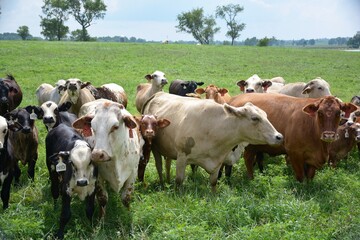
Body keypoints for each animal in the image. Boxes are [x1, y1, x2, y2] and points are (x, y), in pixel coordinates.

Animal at [228, 93, 358, 181]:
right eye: (320, 113)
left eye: (338, 113)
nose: (328, 135)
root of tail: (234, 99)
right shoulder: (294, 154)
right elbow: (300, 177)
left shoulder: (313, 158)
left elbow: (309, 177)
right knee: (248, 160)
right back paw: (251, 178)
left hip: (256, 146)